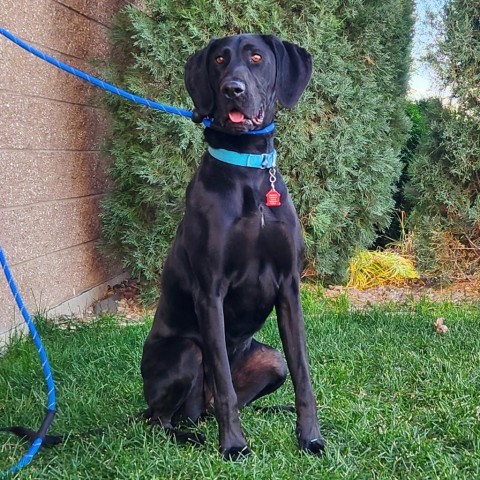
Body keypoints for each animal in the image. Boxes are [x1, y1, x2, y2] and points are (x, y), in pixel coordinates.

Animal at [141, 33, 324, 458]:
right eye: (220, 61)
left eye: (256, 57)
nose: (232, 90)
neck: (248, 169)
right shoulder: (210, 292)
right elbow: (223, 380)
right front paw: (234, 446)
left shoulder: (289, 287)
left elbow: (303, 374)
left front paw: (309, 437)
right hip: (184, 353)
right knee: (165, 418)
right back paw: (190, 436)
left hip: (269, 359)